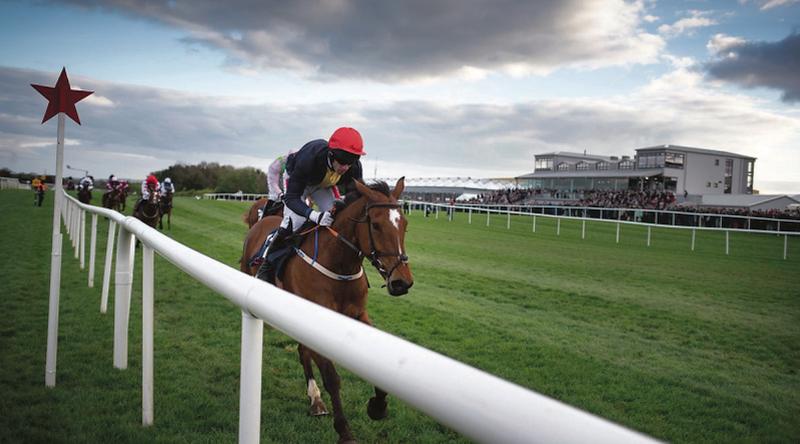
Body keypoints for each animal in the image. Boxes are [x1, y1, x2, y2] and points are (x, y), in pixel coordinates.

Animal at [238, 178, 412, 444]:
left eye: (404, 224)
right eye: (376, 225)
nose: (402, 282)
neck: (338, 263)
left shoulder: (358, 316)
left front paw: (377, 406)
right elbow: (332, 377)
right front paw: (344, 431)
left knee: (303, 351)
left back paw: (315, 397)